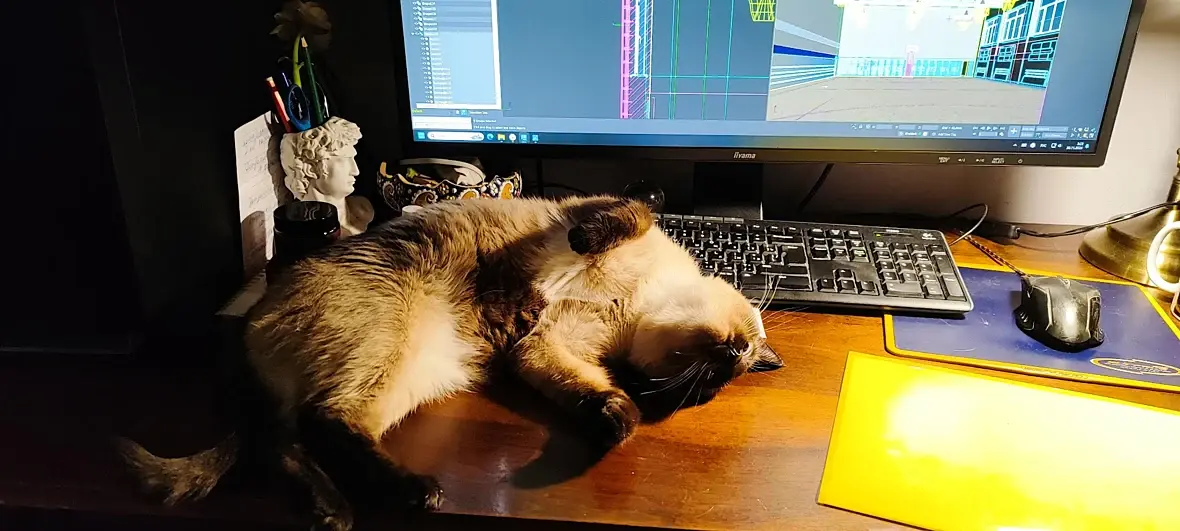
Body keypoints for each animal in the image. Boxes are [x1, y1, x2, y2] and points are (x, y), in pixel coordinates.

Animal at [118, 195, 782, 531]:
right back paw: (400, 495)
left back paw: (345, 507)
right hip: (391, 341)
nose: (730, 356)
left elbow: (589, 392)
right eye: (733, 359)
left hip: (410, 372)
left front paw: (618, 422)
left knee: (298, 433)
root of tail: (253, 316)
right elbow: (626, 213)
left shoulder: (540, 350)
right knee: (307, 425)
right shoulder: (594, 225)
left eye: (717, 382)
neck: (632, 306)